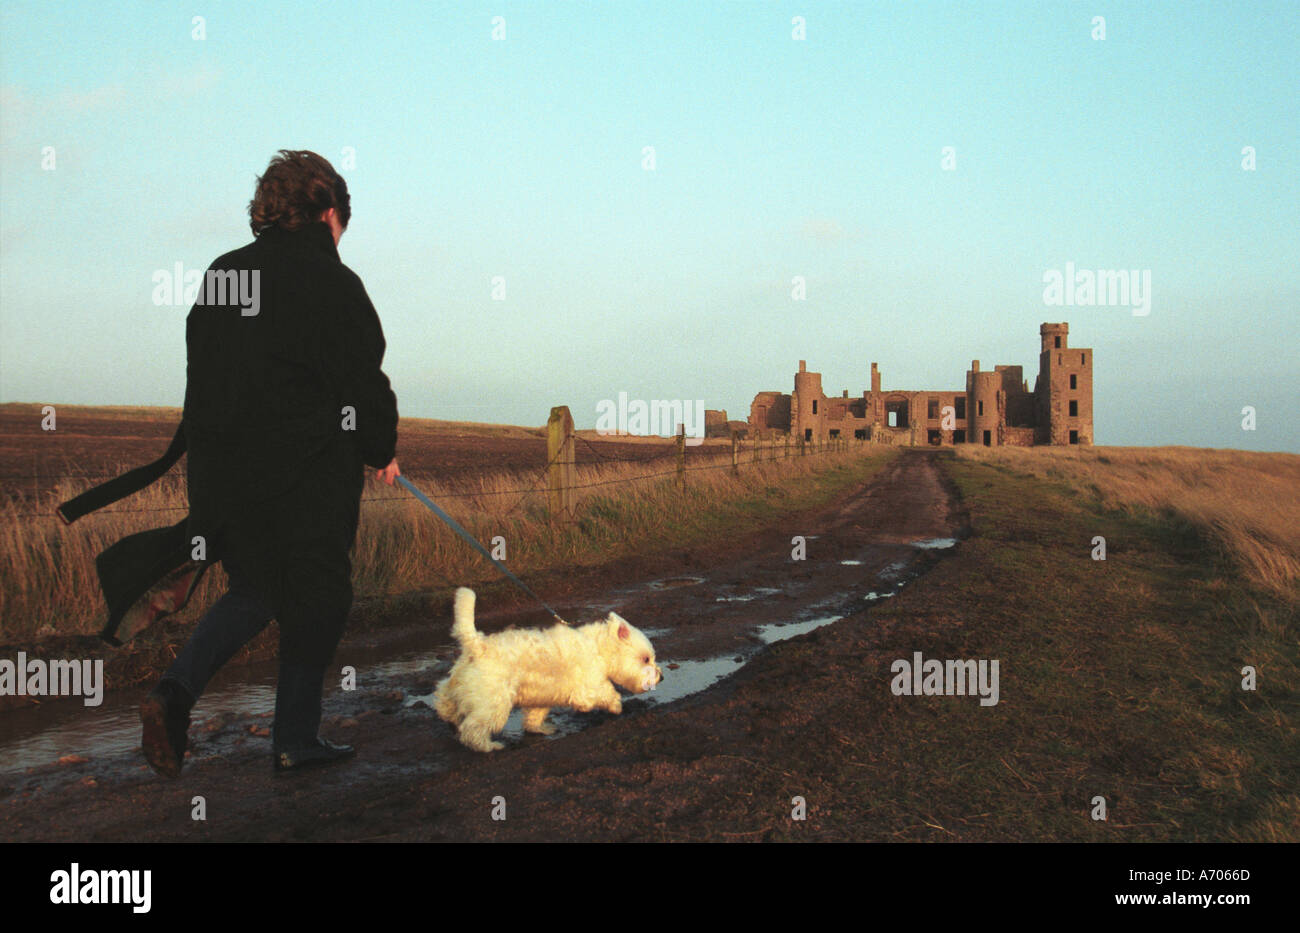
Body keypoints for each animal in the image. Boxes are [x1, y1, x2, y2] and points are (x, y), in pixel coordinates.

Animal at [436, 592, 665, 753]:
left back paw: (450, 719)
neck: (598, 648)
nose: (661, 677)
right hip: (494, 703)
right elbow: (609, 693)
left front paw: (539, 729)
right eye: (646, 659)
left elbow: (534, 717)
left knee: (443, 699)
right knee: (472, 729)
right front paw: (616, 707)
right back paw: (488, 746)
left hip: (459, 687)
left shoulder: (542, 696)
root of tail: (478, 645)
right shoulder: (587, 689)